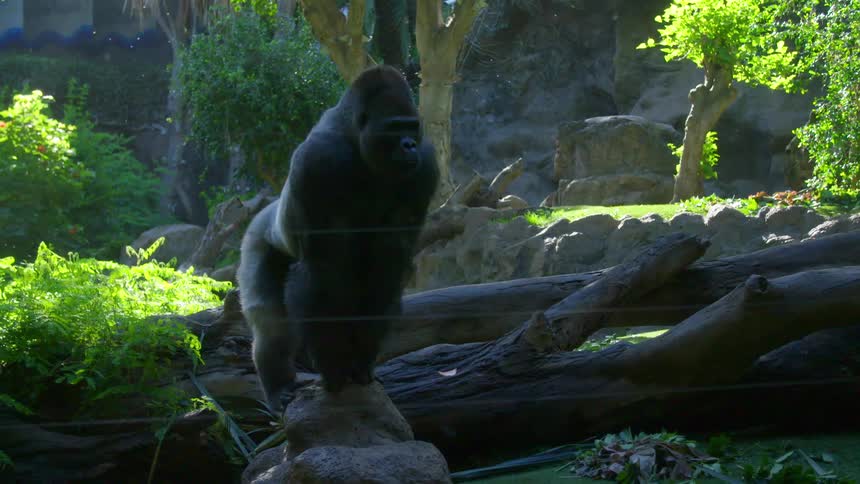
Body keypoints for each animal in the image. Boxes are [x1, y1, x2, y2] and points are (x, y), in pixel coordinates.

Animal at [237, 65, 439, 412]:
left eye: (412, 127)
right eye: (393, 128)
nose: (409, 145)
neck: (356, 140)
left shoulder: (426, 167)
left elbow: (387, 266)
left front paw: (361, 360)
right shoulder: (317, 163)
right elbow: (325, 271)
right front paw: (333, 365)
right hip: (255, 239)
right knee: (271, 324)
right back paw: (278, 386)